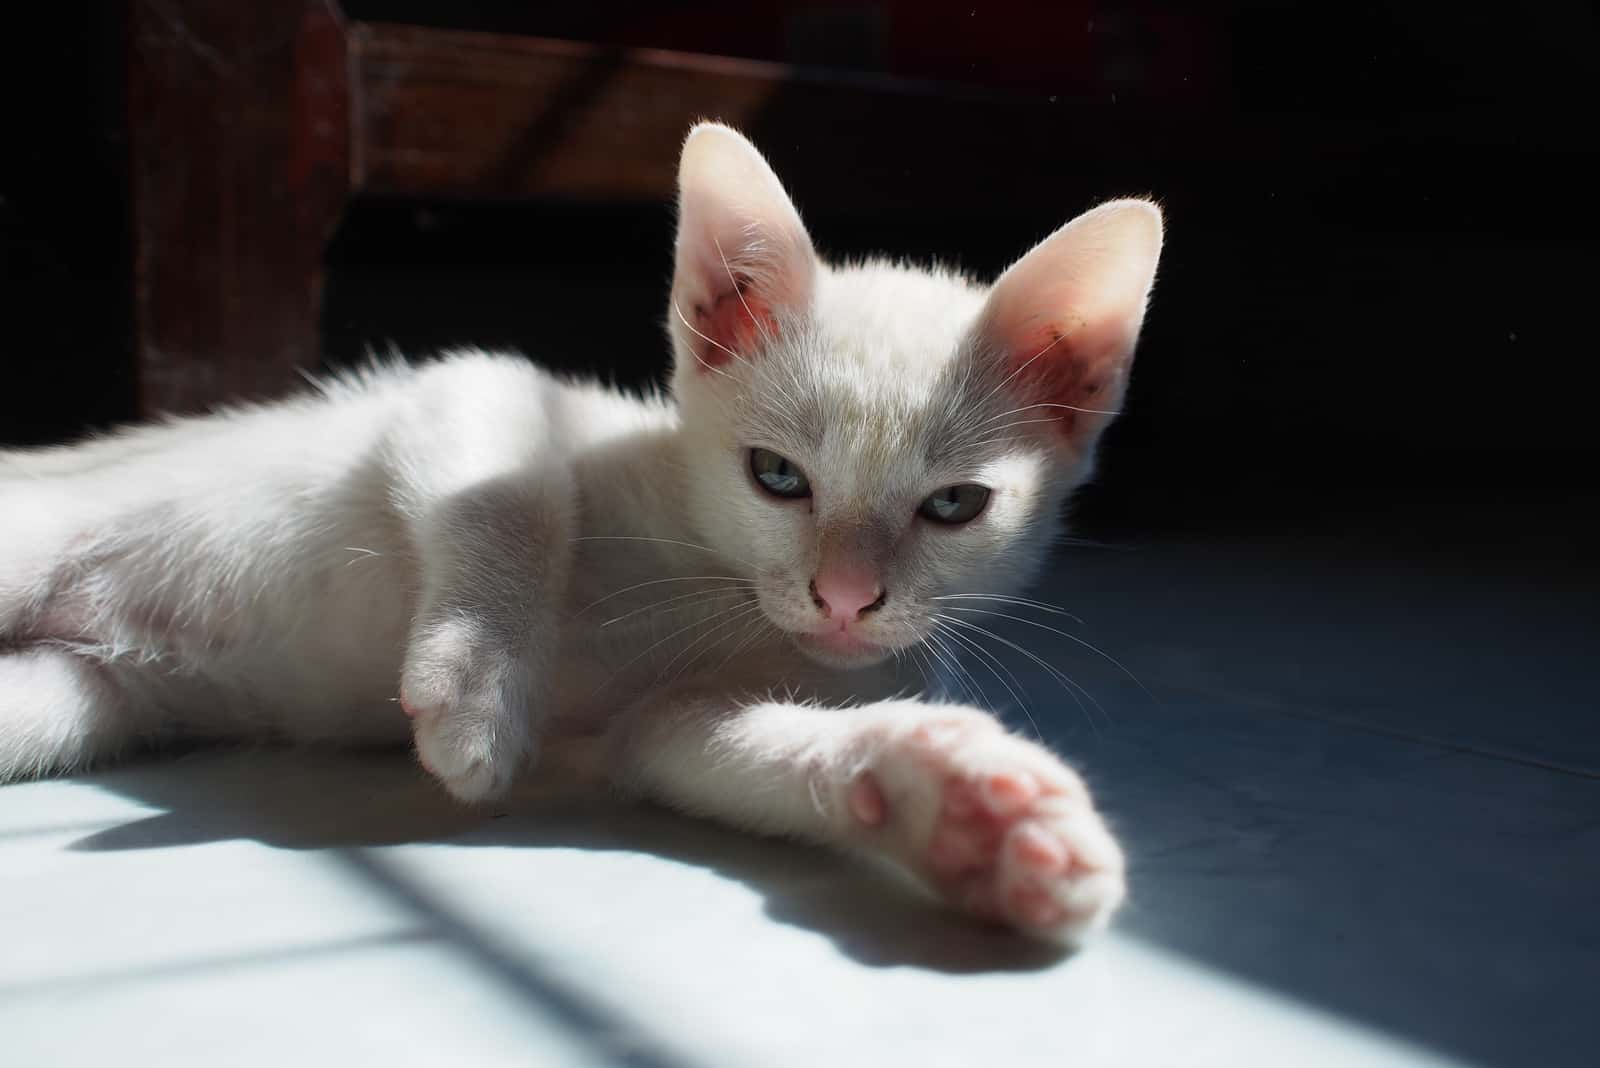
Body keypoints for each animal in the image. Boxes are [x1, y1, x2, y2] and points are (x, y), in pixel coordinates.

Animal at [0, 123, 1164, 940]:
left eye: (955, 506)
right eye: (777, 476)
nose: (842, 600)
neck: (711, 580)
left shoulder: (675, 719)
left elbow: (711, 746)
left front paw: (963, 812)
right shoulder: (476, 387)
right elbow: (512, 495)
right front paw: (479, 692)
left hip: (69, 702)